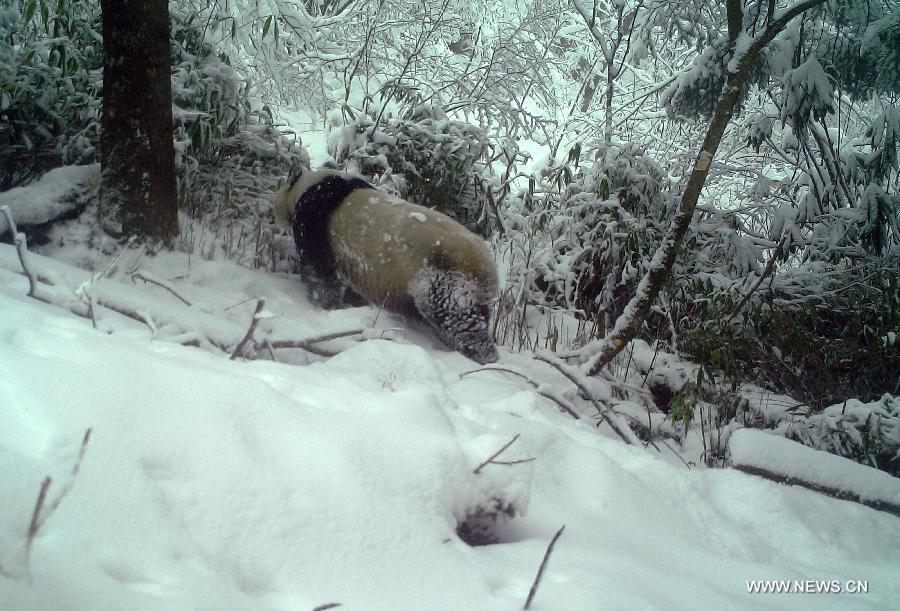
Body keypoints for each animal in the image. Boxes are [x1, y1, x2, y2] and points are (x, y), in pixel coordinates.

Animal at [274, 166, 500, 364]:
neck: (308, 184)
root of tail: (488, 268)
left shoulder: (314, 221)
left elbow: (319, 271)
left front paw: (327, 306)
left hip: (445, 277)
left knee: (457, 320)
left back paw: (481, 356)